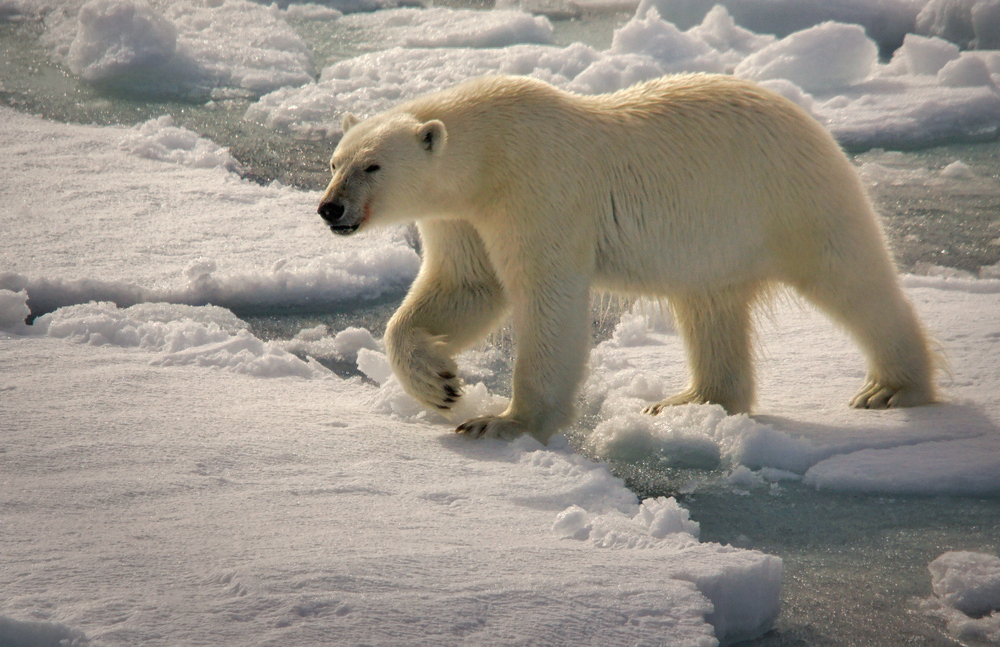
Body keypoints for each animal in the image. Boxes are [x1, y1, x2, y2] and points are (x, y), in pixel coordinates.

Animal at [318, 73, 936, 442]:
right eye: (335, 161)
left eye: (373, 165)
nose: (330, 208)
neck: (490, 150)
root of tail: (812, 123)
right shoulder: (461, 215)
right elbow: (465, 286)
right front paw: (441, 384)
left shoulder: (539, 191)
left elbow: (546, 297)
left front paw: (502, 422)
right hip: (717, 241)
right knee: (710, 308)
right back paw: (689, 400)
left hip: (792, 199)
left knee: (854, 282)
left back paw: (891, 388)